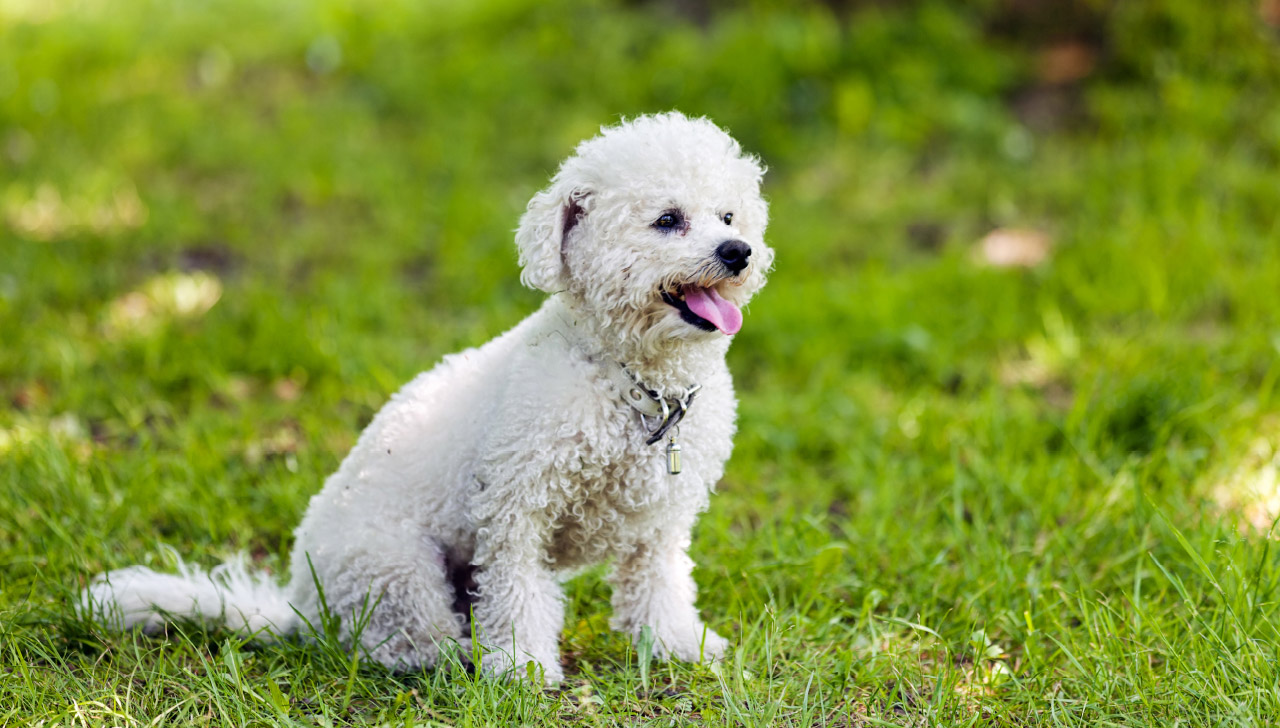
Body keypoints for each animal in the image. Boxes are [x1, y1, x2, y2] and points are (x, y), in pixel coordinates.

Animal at [87, 109, 778, 680]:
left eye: (728, 216)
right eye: (667, 220)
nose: (738, 251)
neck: (633, 382)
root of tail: (298, 604)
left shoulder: (659, 523)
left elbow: (658, 585)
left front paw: (676, 645)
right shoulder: (515, 512)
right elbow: (518, 595)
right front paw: (522, 670)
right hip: (394, 566)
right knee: (400, 643)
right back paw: (457, 656)